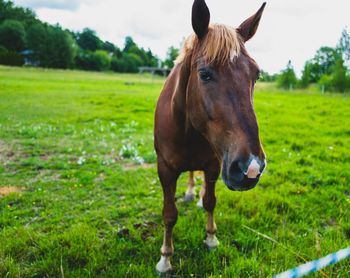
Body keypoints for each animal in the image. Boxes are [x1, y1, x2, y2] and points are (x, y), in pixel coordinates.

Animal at [154, 0, 266, 272]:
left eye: (256, 74)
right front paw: (165, 258)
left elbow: (210, 202)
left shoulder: (216, 165)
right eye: (204, 74)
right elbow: (169, 215)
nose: (251, 167)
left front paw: (211, 239)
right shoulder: (165, 170)